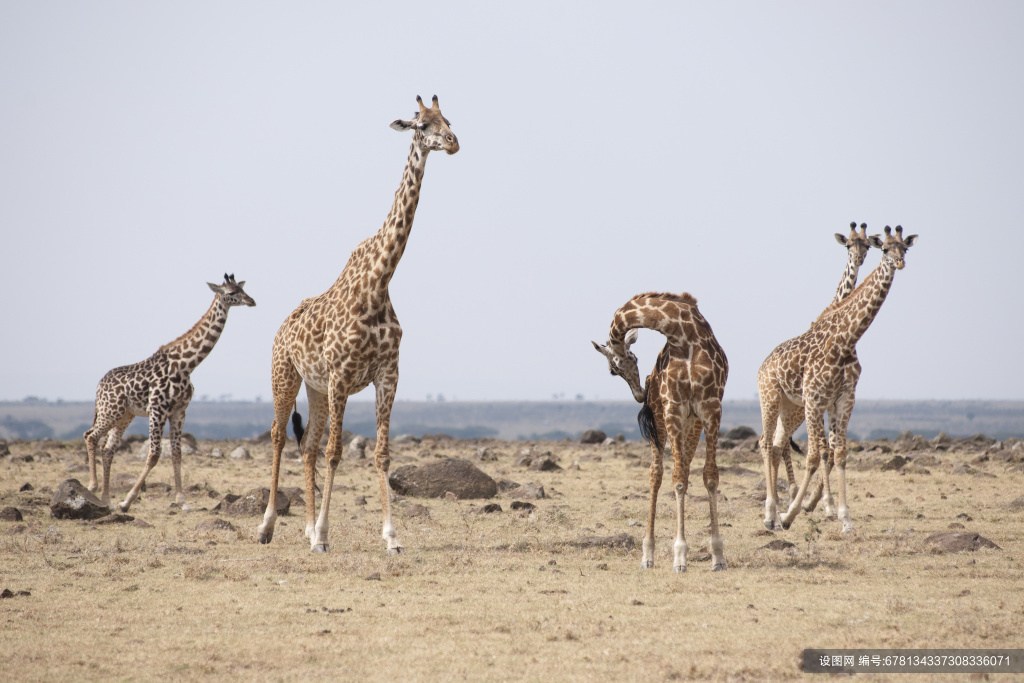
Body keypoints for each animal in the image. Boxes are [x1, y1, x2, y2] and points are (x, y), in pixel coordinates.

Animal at [256, 94, 460, 557]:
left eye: (448, 119)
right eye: (422, 124)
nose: (454, 142)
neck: (379, 282)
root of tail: (281, 328)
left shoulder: (387, 374)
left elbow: (381, 454)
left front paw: (392, 538)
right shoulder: (341, 375)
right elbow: (336, 453)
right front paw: (324, 537)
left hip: (315, 387)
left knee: (308, 445)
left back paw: (306, 528)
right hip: (286, 375)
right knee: (280, 436)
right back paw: (269, 526)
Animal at [593, 292, 729, 573]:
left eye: (613, 370)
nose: (639, 394)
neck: (682, 335)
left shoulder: (711, 407)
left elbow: (710, 476)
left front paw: (718, 556)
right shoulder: (672, 408)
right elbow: (677, 480)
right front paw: (680, 557)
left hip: (692, 423)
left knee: (685, 466)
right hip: (660, 418)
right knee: (656, 474)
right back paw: (648, 555)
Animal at [757, 227, 917, 532]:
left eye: (905, 248)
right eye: (884, 249)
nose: (899, 263)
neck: (847, 339)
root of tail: (763, 364)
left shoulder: (843, 399)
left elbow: (838, 453)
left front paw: (843, 516)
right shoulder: (815, 399)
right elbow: (816, 454)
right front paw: (794, 512)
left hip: (790, 407)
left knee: (777, 445)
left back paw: (779, 507)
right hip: (770, 398)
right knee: (767, 443)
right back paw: (772, 513)